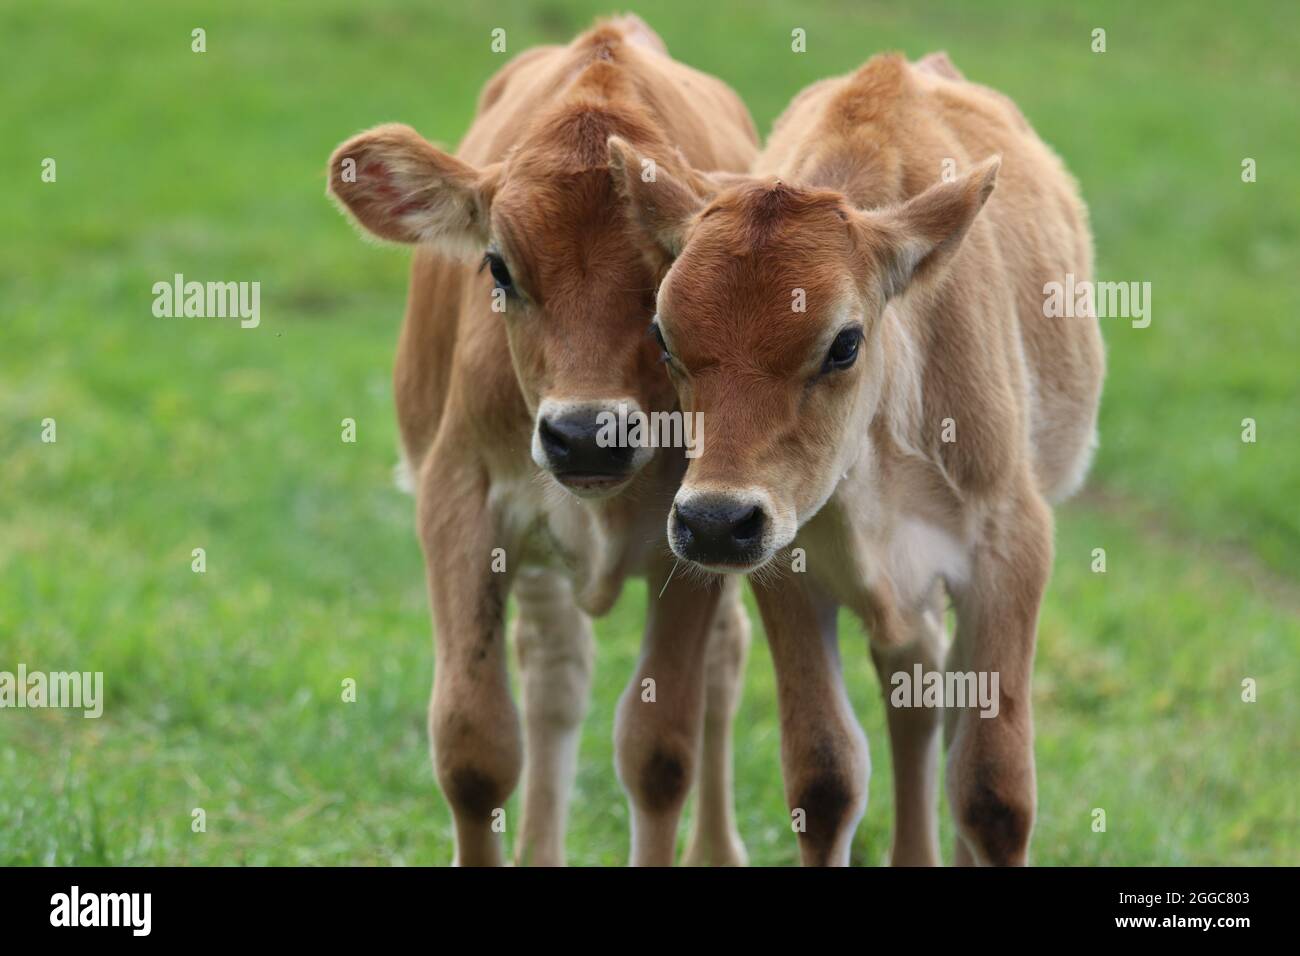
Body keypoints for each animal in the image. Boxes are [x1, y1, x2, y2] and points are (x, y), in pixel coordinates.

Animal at [330, 16, 759, 868]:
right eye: (498, 267)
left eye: (672, 275)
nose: (587, 437)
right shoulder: (460, 503)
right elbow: (474, 747)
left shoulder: (703, 528)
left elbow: (660, 753)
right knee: (556, 675)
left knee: (723, 667)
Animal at [613, 52, 1102, 868]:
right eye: (661, 334)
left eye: (844, 343)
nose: (714, 521)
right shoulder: (786, 565)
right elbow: (825, 778)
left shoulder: (1011, 546)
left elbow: (993, 793)